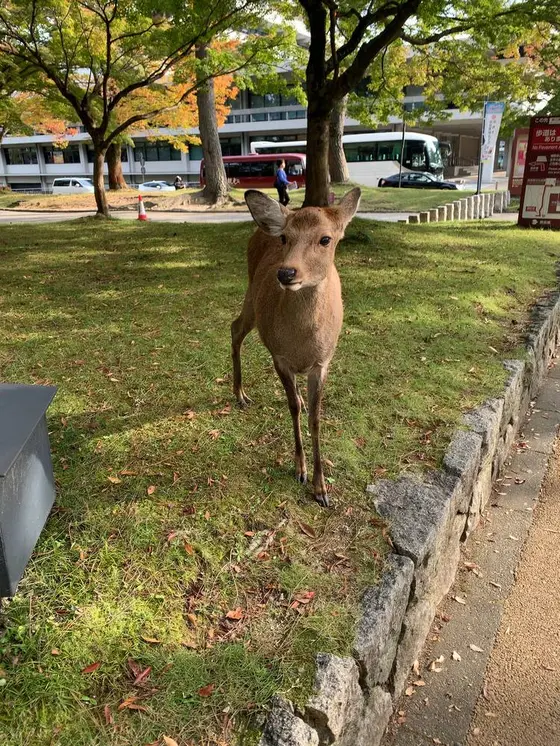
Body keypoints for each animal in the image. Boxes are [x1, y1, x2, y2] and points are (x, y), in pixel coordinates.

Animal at [230, 186, 360, 506]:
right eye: (285, 238)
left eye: (326, 239)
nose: (286, 273)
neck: (302, 342)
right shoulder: (279, 357)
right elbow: (293, 409)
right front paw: (300, 471)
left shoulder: (323, 363)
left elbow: (314, 417)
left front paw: (321, 488)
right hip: (252, 297)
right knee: (235, 328)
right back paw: (240, 394)